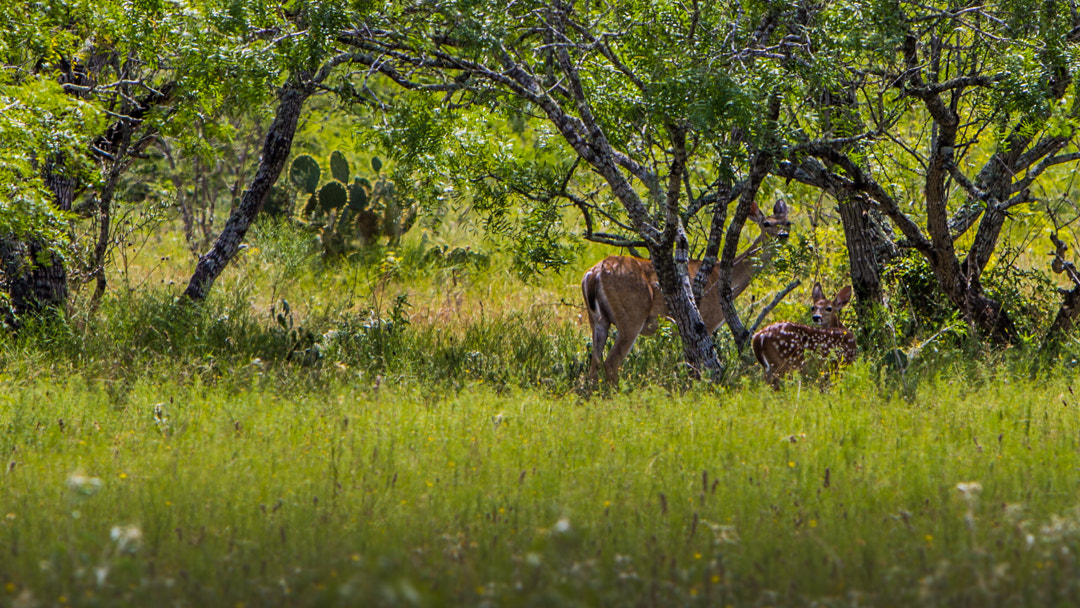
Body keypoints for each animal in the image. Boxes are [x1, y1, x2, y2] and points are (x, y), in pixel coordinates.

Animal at [581, 200, 792, 387]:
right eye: (766, 223)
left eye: (788, 222)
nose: (783, 235)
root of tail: (594, 273)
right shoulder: (706, 319)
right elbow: (699, 362)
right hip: (631, 315)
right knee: (611, 362)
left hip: (598, 320)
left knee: (595, 363)